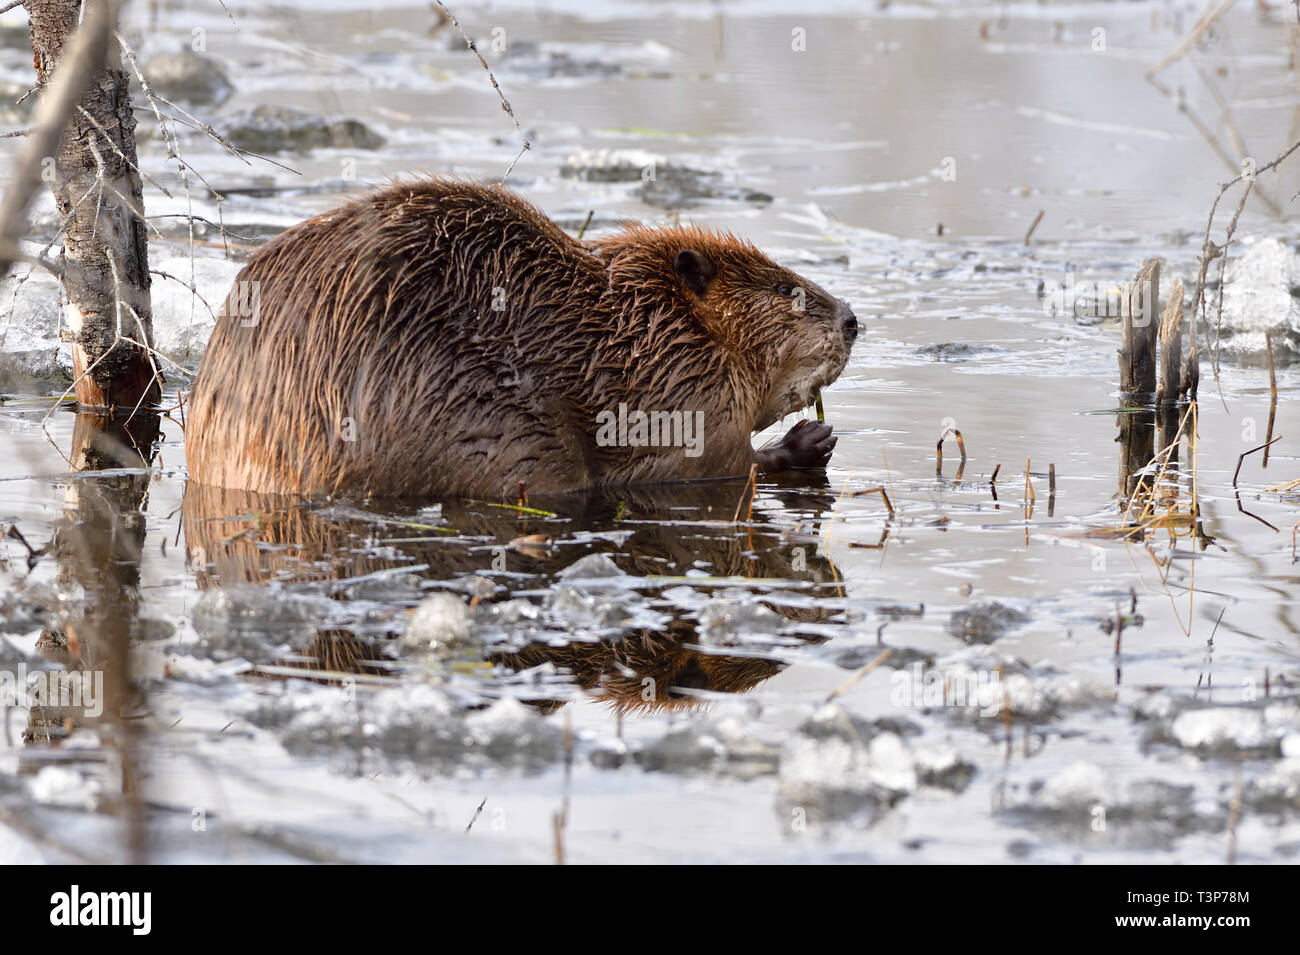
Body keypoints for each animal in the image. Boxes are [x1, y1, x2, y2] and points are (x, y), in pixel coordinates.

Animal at [183, 178, 852, 501]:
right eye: (786, 288)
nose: (851, 319)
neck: (646, 324)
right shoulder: (684, 396)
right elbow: (707, 465)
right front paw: (809, 439)